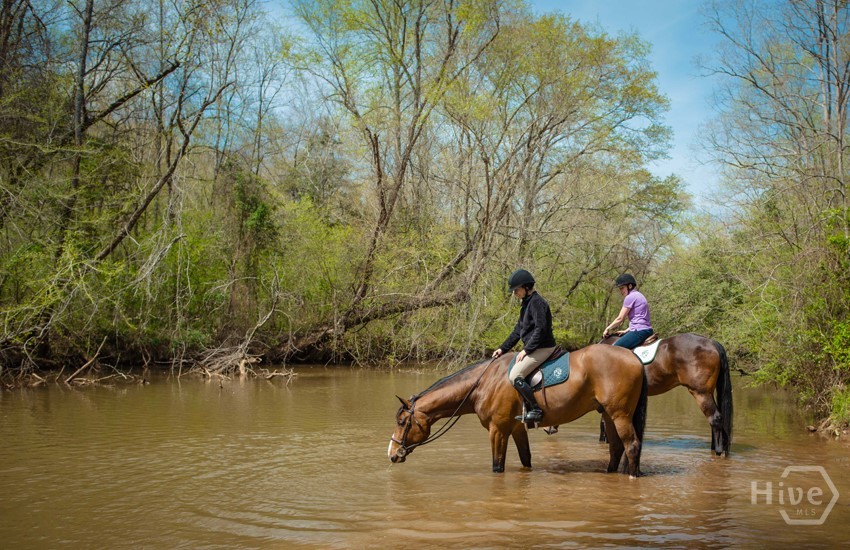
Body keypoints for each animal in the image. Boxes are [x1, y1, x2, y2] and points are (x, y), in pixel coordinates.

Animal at [388, 344, 648, 476]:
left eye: (402, 422)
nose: (392, 454)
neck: (484, 383)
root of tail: (633, 356)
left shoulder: (497, 430)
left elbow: (497, 466)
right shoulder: (516, 429)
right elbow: (526, 459)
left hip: (620, 415)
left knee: (632, 446)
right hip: (608, 415)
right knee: (616, 448)